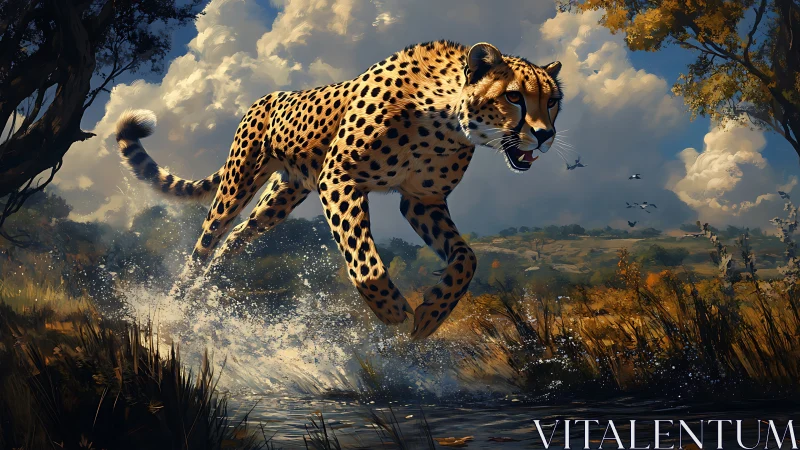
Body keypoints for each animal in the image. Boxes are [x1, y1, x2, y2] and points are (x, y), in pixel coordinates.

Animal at [115, 40, 563, 339]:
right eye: (514, 97)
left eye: (554, 100)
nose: (545, 136)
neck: (446, 117)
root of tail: (266, 96)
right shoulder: (341, 178)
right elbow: (365, 261)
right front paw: (392, 310)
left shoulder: (422, 201)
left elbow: (466, 259)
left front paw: (431, 315)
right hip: (239, 182)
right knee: (204, 245)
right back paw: (177, 305)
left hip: (282, 196)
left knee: (237, 238)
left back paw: (209, 290)